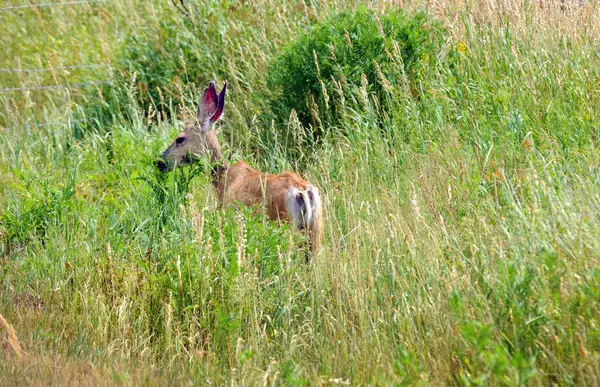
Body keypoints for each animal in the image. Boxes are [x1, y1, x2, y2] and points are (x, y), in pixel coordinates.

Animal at [155, 81, 324, 256]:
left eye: (180, 139)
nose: (160, 162)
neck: (223, 179)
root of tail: (303, 191)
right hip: (315, 231)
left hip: (284, 224)